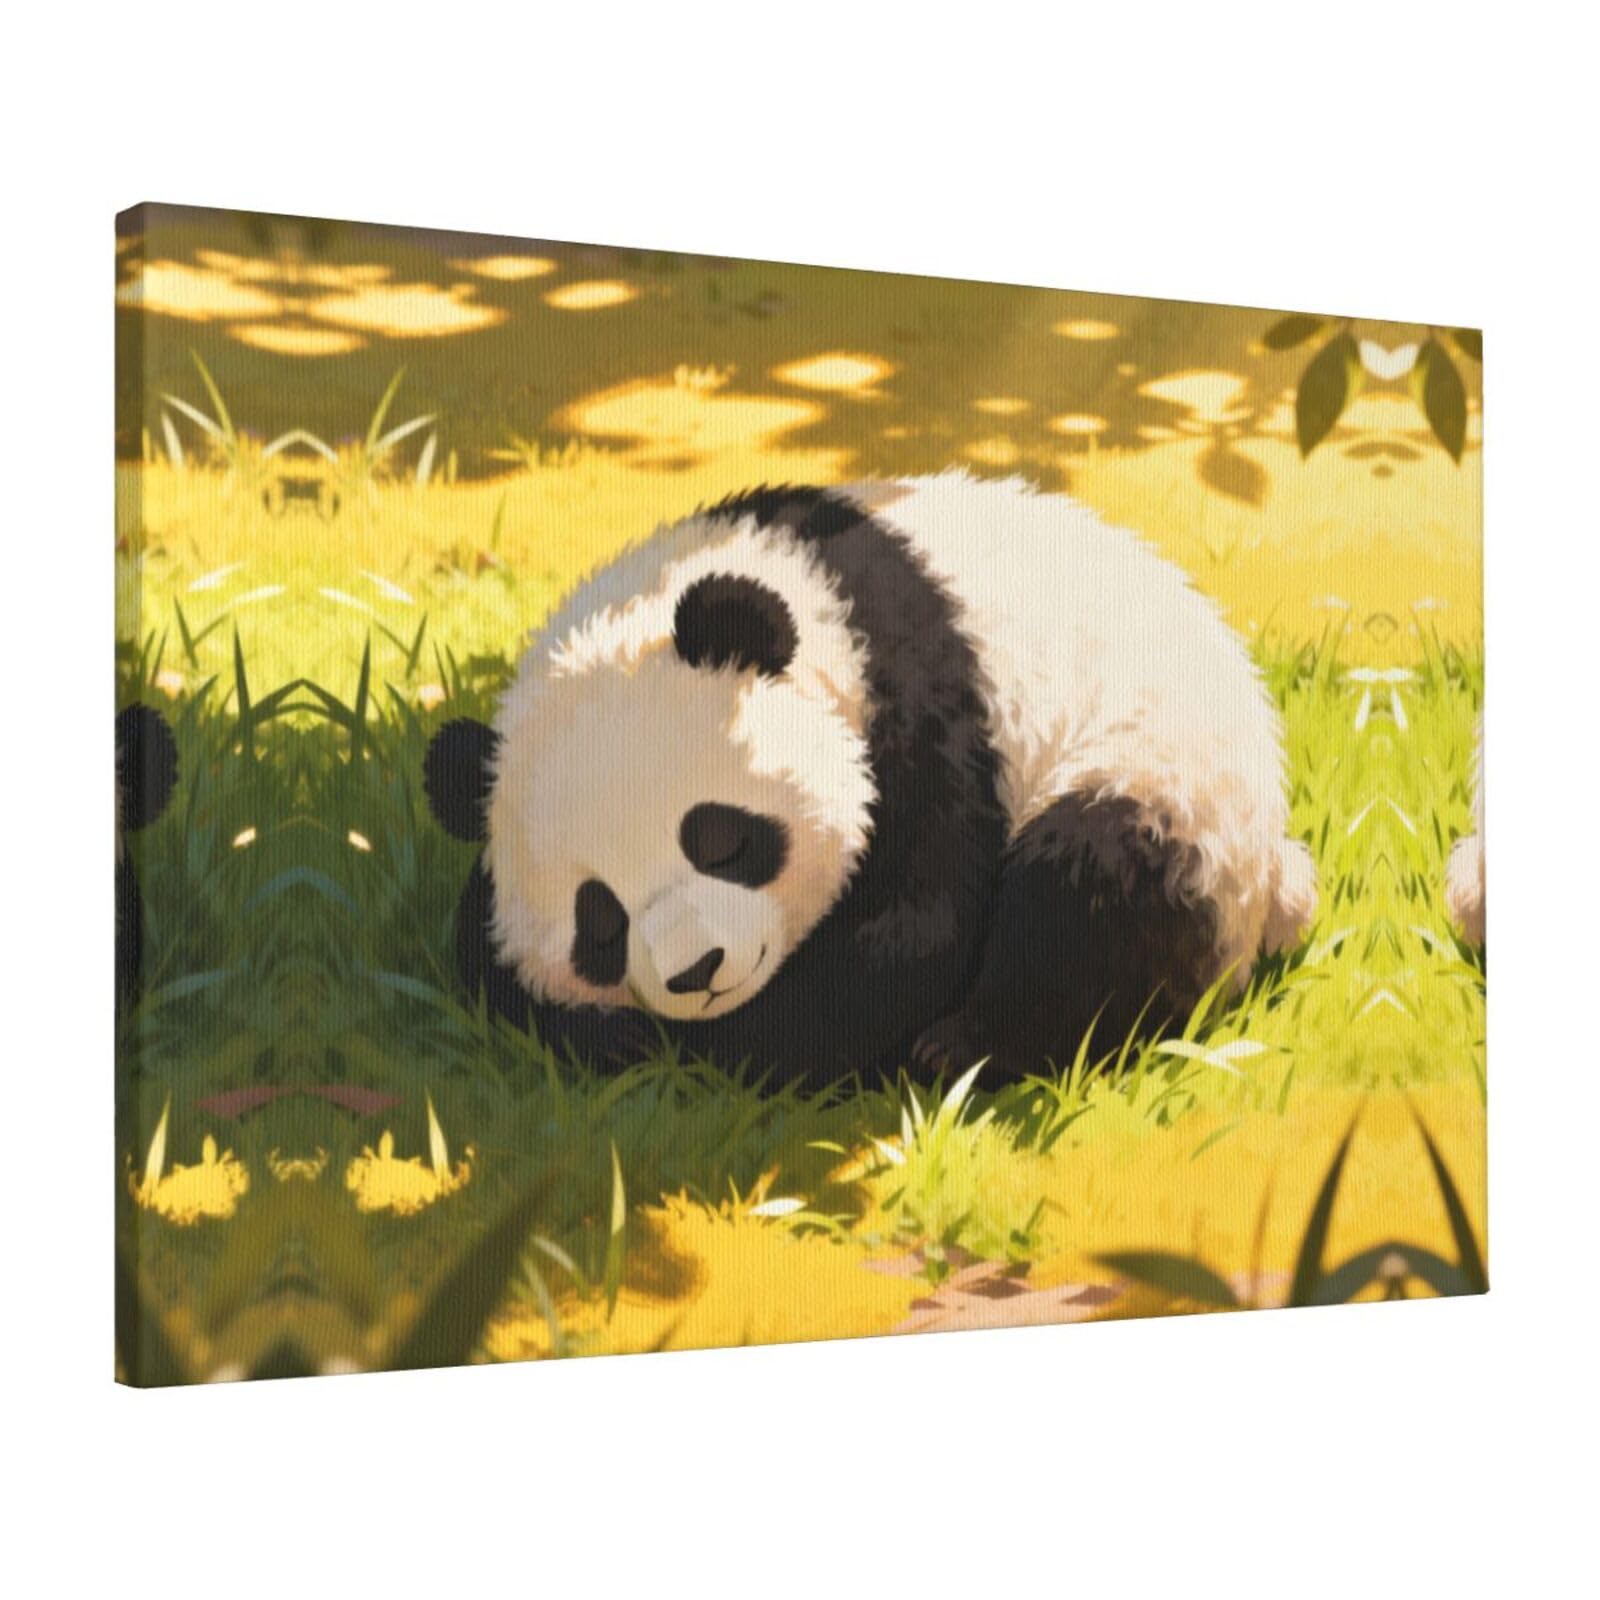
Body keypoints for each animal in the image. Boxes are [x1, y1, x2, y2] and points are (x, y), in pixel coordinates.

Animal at [424, 473, 1317, 1085]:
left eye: (723, 839)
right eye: (599, 919)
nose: (697, 972)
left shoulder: (925, 706)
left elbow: (911, 925)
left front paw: (725, 1046)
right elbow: (482, 951)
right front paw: (612, 1030)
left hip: (1172, 786)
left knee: (1092, 883)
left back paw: (966, 1045)